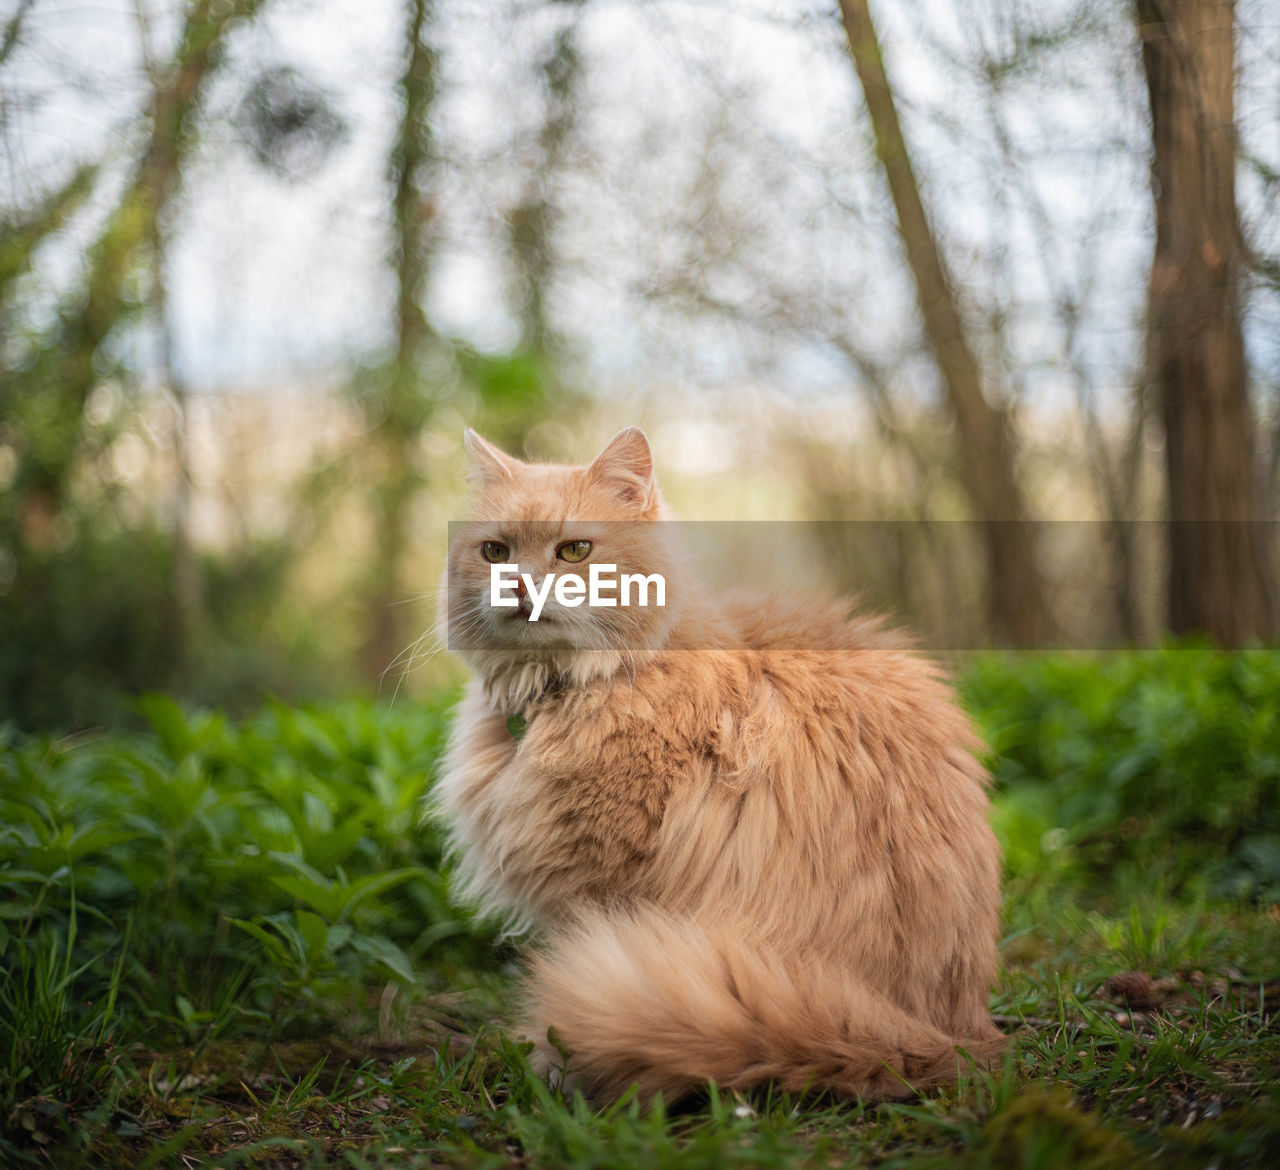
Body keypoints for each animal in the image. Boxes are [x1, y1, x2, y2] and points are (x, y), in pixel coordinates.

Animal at [435, 424, 1003, 1100]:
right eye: (495, 551)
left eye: (574, 550)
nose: (518, 588)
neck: (568, 689)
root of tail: (944, 1037)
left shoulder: (600, 880)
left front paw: (554, 1059)